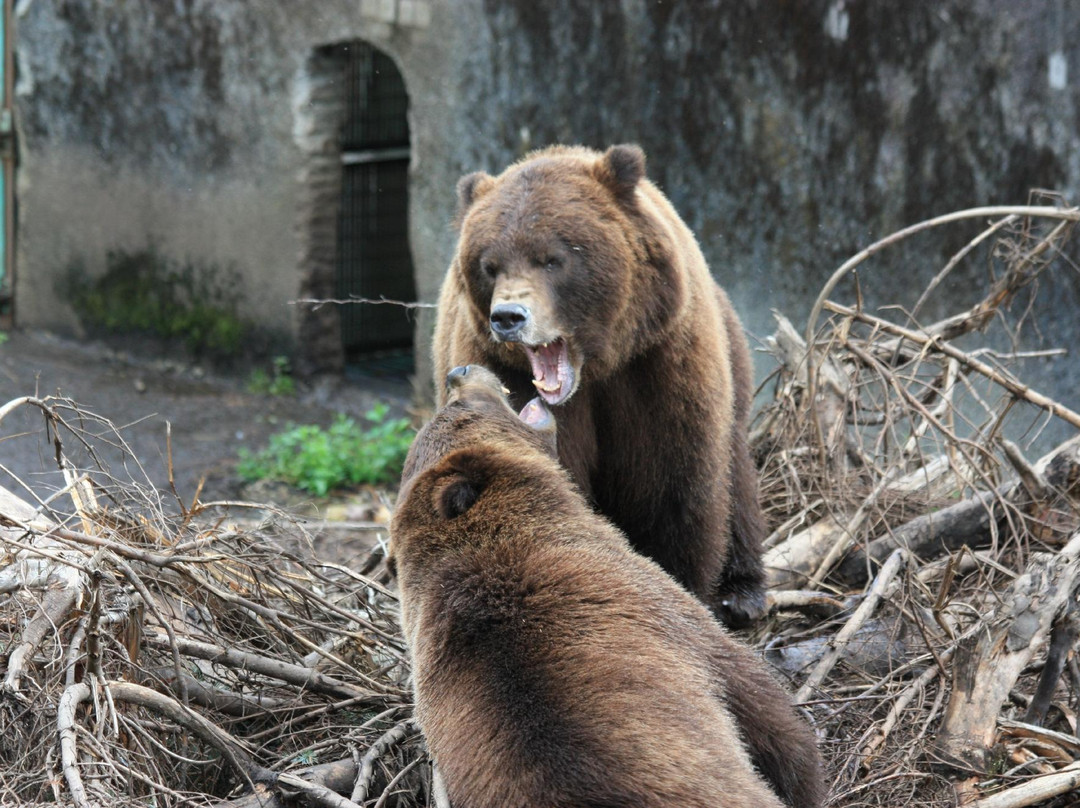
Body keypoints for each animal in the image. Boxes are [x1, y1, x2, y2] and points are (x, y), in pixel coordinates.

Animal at [432, 143, 767, 626]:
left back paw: (743, 592)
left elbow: (673, 489)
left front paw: (683, 588)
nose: (508, 317)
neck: (592, 369)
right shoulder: (502, 375)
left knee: (736, 467)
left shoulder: (657, 367)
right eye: (489, 266)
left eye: (552, 258)